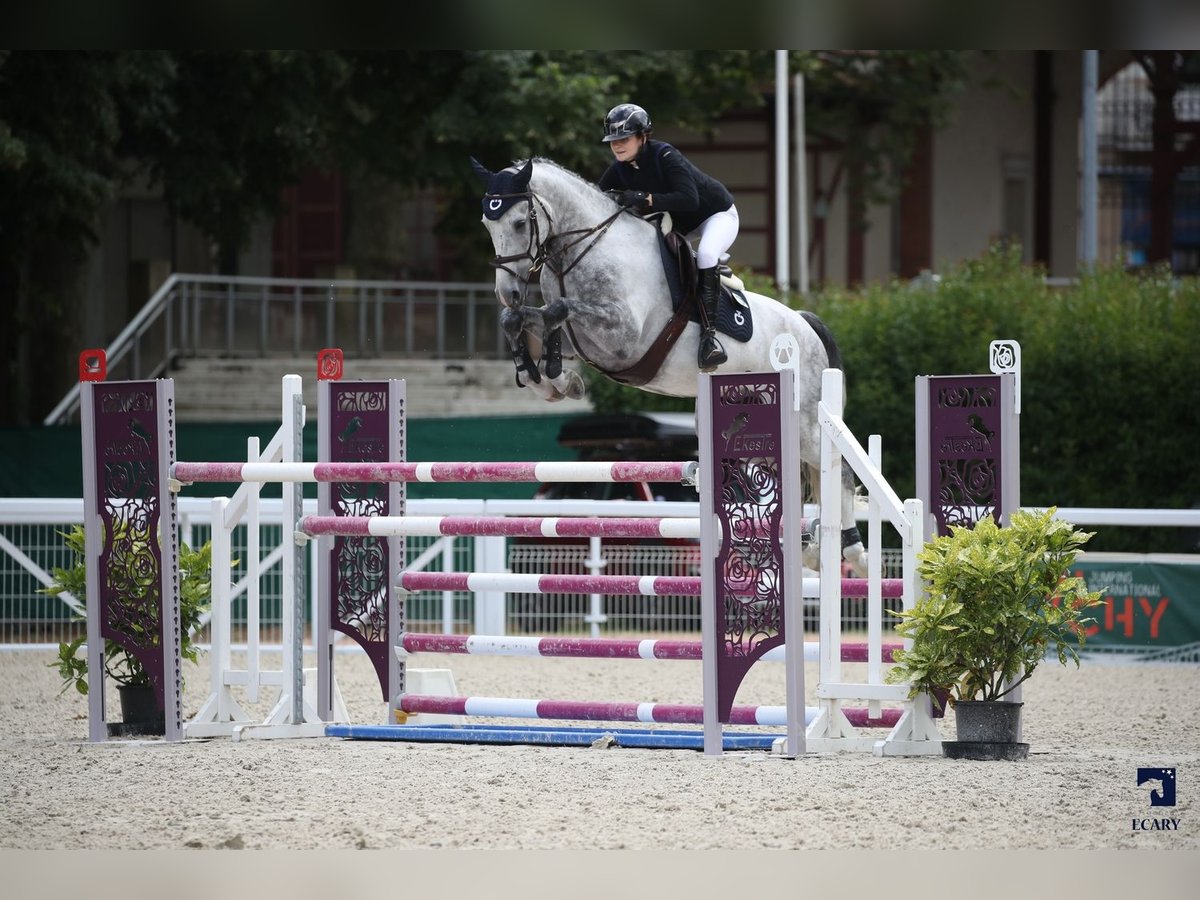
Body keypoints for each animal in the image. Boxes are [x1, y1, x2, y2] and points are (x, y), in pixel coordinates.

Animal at [465, 156, 864, 573]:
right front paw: (548, 379)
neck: (582, 250)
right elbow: (522, 319)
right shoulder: (583, 340)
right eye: (487, 223)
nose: (508, 293)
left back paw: (852, 551)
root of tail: (806, 324)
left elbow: (556, 310)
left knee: (839, 469)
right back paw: (812, 550)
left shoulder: (622, 338)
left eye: (519, 223)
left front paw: (557, 378)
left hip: (808, 423)